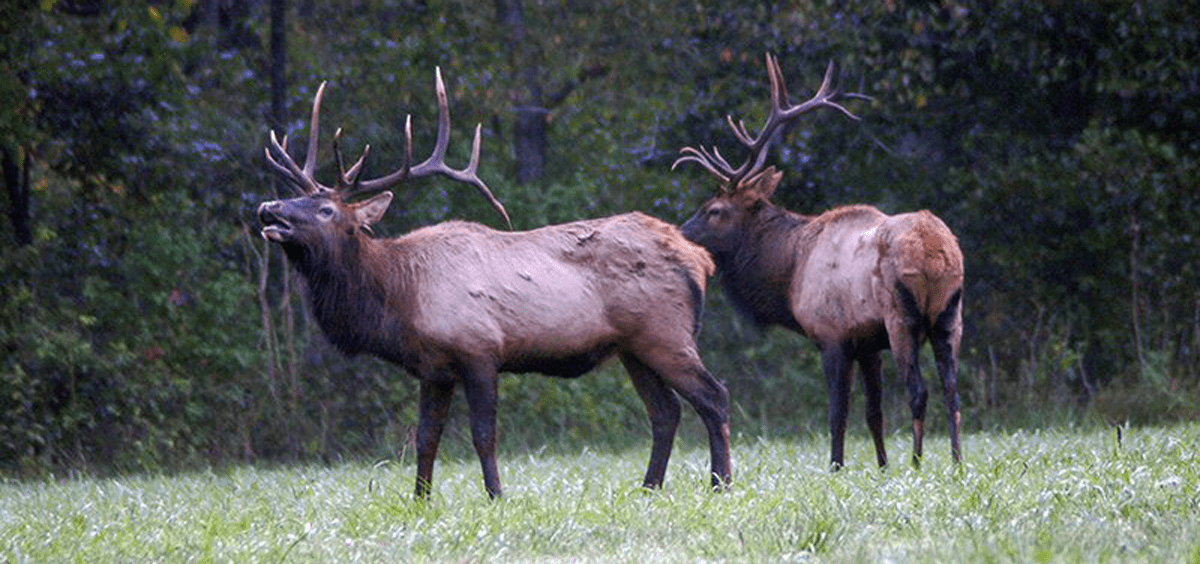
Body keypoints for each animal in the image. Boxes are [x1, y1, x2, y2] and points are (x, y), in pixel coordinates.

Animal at [257, 68, 731, 499]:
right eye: (298, 198)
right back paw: (649, 488)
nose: (269, 207)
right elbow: (425, 439)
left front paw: (496, 495)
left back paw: (721, 484)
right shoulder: (434, 368)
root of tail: (699, 258)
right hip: (632, 347)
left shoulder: (479, 348)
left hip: (665, 333)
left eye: (327, 211)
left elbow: (483, 434)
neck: (400, 299)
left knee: (714, 396)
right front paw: (420, 500)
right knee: (666, 412)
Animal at [673, 54, 964, 470]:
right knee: (952, 390)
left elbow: (837, 412)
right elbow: (873, 413)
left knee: (919, 391)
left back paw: (918, 462)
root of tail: (936, 250)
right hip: (949, 315)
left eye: (713, 210)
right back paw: (956, 461)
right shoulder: (868, 343)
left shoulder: (831, 335)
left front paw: (837, 466)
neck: (790, 272)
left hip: (902, 316)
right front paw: (882, 466)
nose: (680, 232)